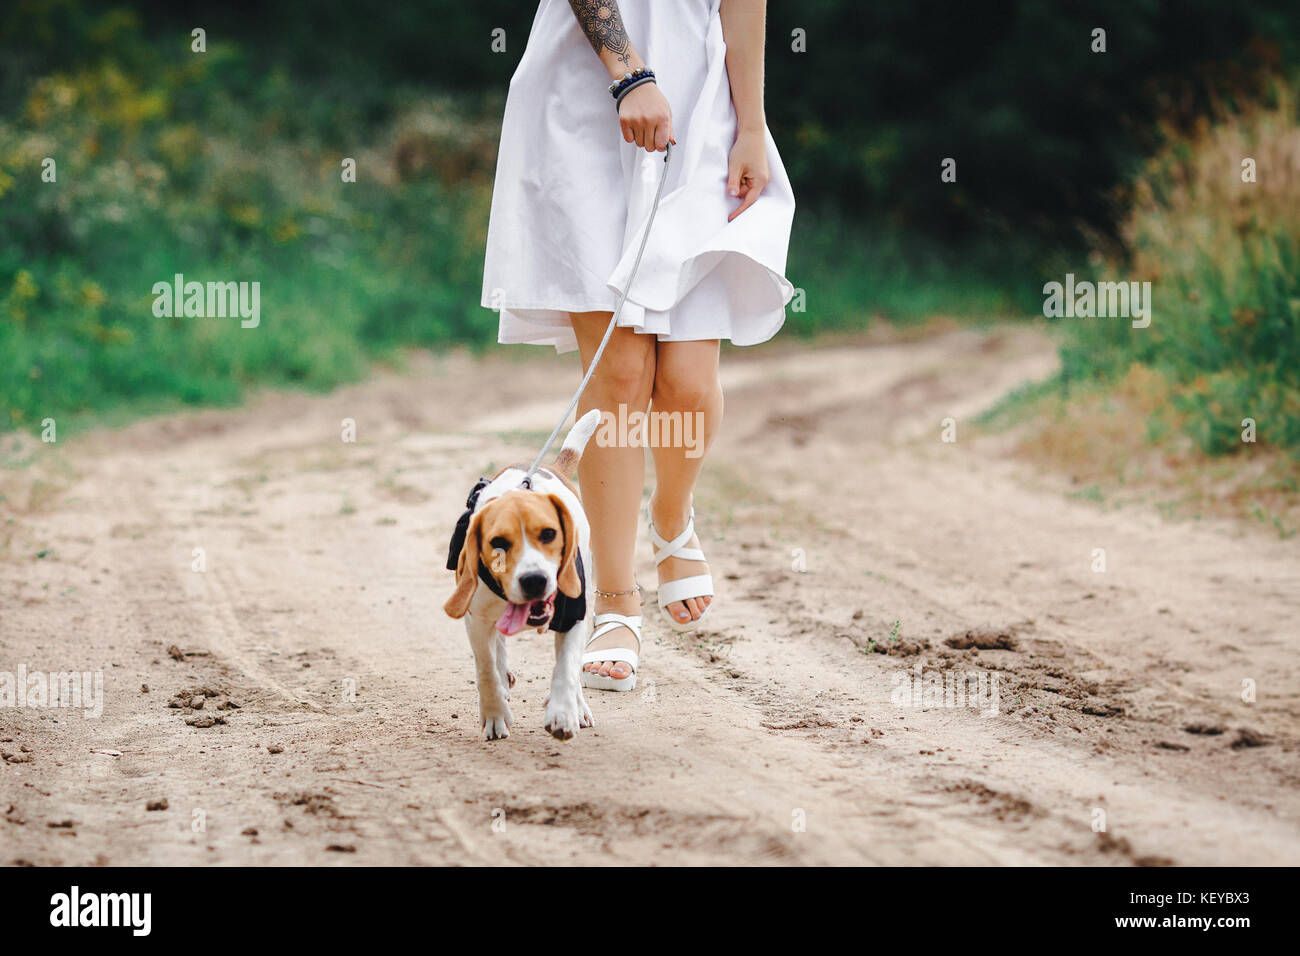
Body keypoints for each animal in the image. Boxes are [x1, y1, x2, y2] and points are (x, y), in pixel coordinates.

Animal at [444, 408, 600, 738]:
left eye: (549, 534)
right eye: (498, 544)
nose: (534, 580)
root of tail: (550, 468)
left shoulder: (574, 615)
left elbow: (567, 668)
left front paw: (563, 712)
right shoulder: (475, 618)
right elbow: (486, 669)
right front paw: (495, 714)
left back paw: (577, 706)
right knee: (497, 650)